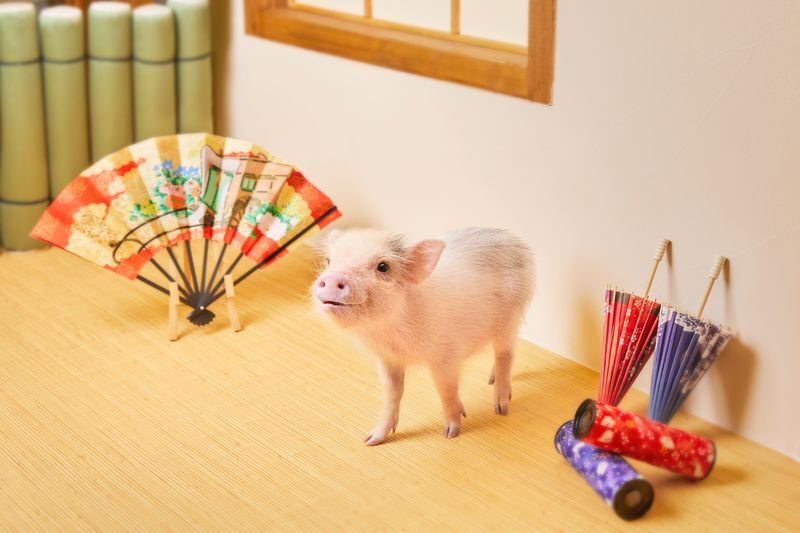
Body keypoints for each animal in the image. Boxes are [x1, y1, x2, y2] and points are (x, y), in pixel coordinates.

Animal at [312, 227, 534, 445]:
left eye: (383, 266)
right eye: (329, 261)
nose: (332, 277)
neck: (389, 332)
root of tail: (514, 240)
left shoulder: (444, 357)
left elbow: (445, 390)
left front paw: (451, 433)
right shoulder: (386, 358)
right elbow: (392, 392)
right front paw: (370, 440)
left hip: (510, 317)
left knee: (506, 353)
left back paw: (500, 409)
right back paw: (490, 380)